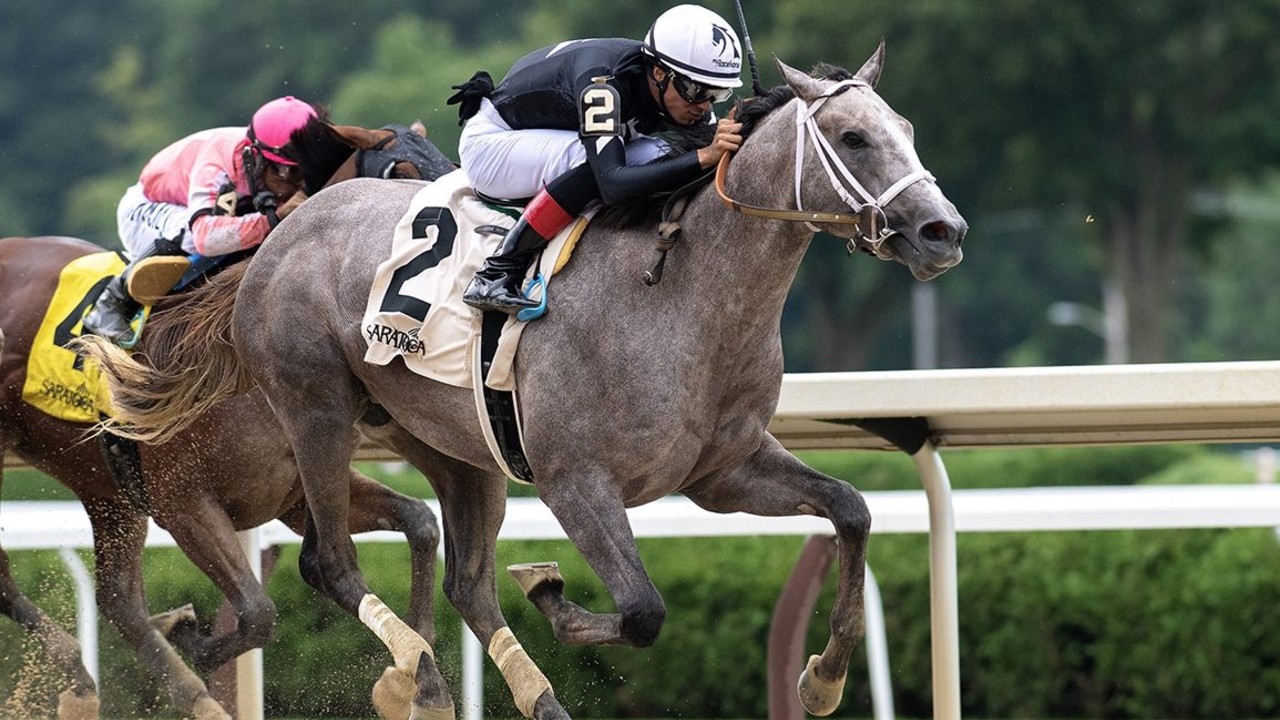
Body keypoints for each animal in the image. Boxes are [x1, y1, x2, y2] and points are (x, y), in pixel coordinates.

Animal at [0, 122, 455, 717]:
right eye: (400, 173)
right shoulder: (184, 502)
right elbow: (259, 613)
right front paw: (188, 634)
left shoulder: (290, 495)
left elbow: (420, 523)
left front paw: (421, 686)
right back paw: (85, 675)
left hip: (106, 491)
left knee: (118, 599)